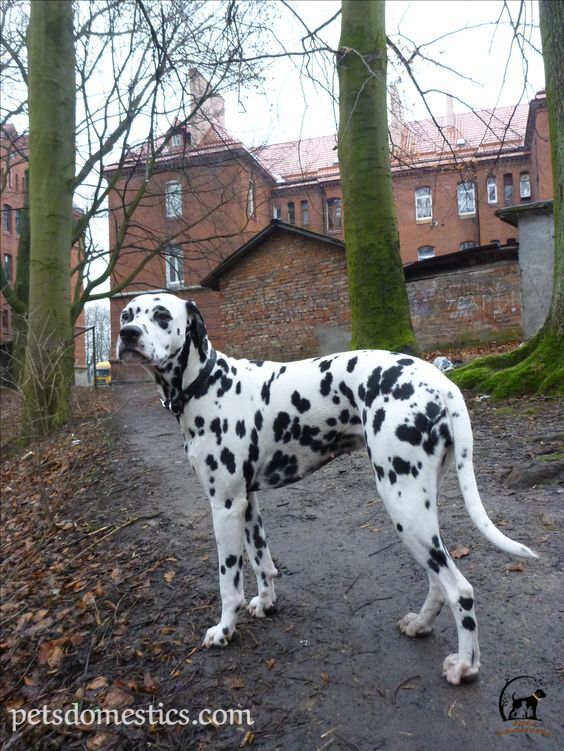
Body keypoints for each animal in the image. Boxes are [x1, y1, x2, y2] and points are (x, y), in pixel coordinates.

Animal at [117, 294, 536, 688]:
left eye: (161, 315)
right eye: (126, 314)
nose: (127, 334)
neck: (207, 383)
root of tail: (441, 382)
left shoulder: (224, 505)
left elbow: (229, 581)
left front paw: (224, 630)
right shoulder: (247, 503)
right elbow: (262, 561)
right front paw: (266, 604)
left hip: (404, 506)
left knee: (459, 589)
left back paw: (464, 666)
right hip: (419, 510)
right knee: (437, 580)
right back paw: (420, 624)